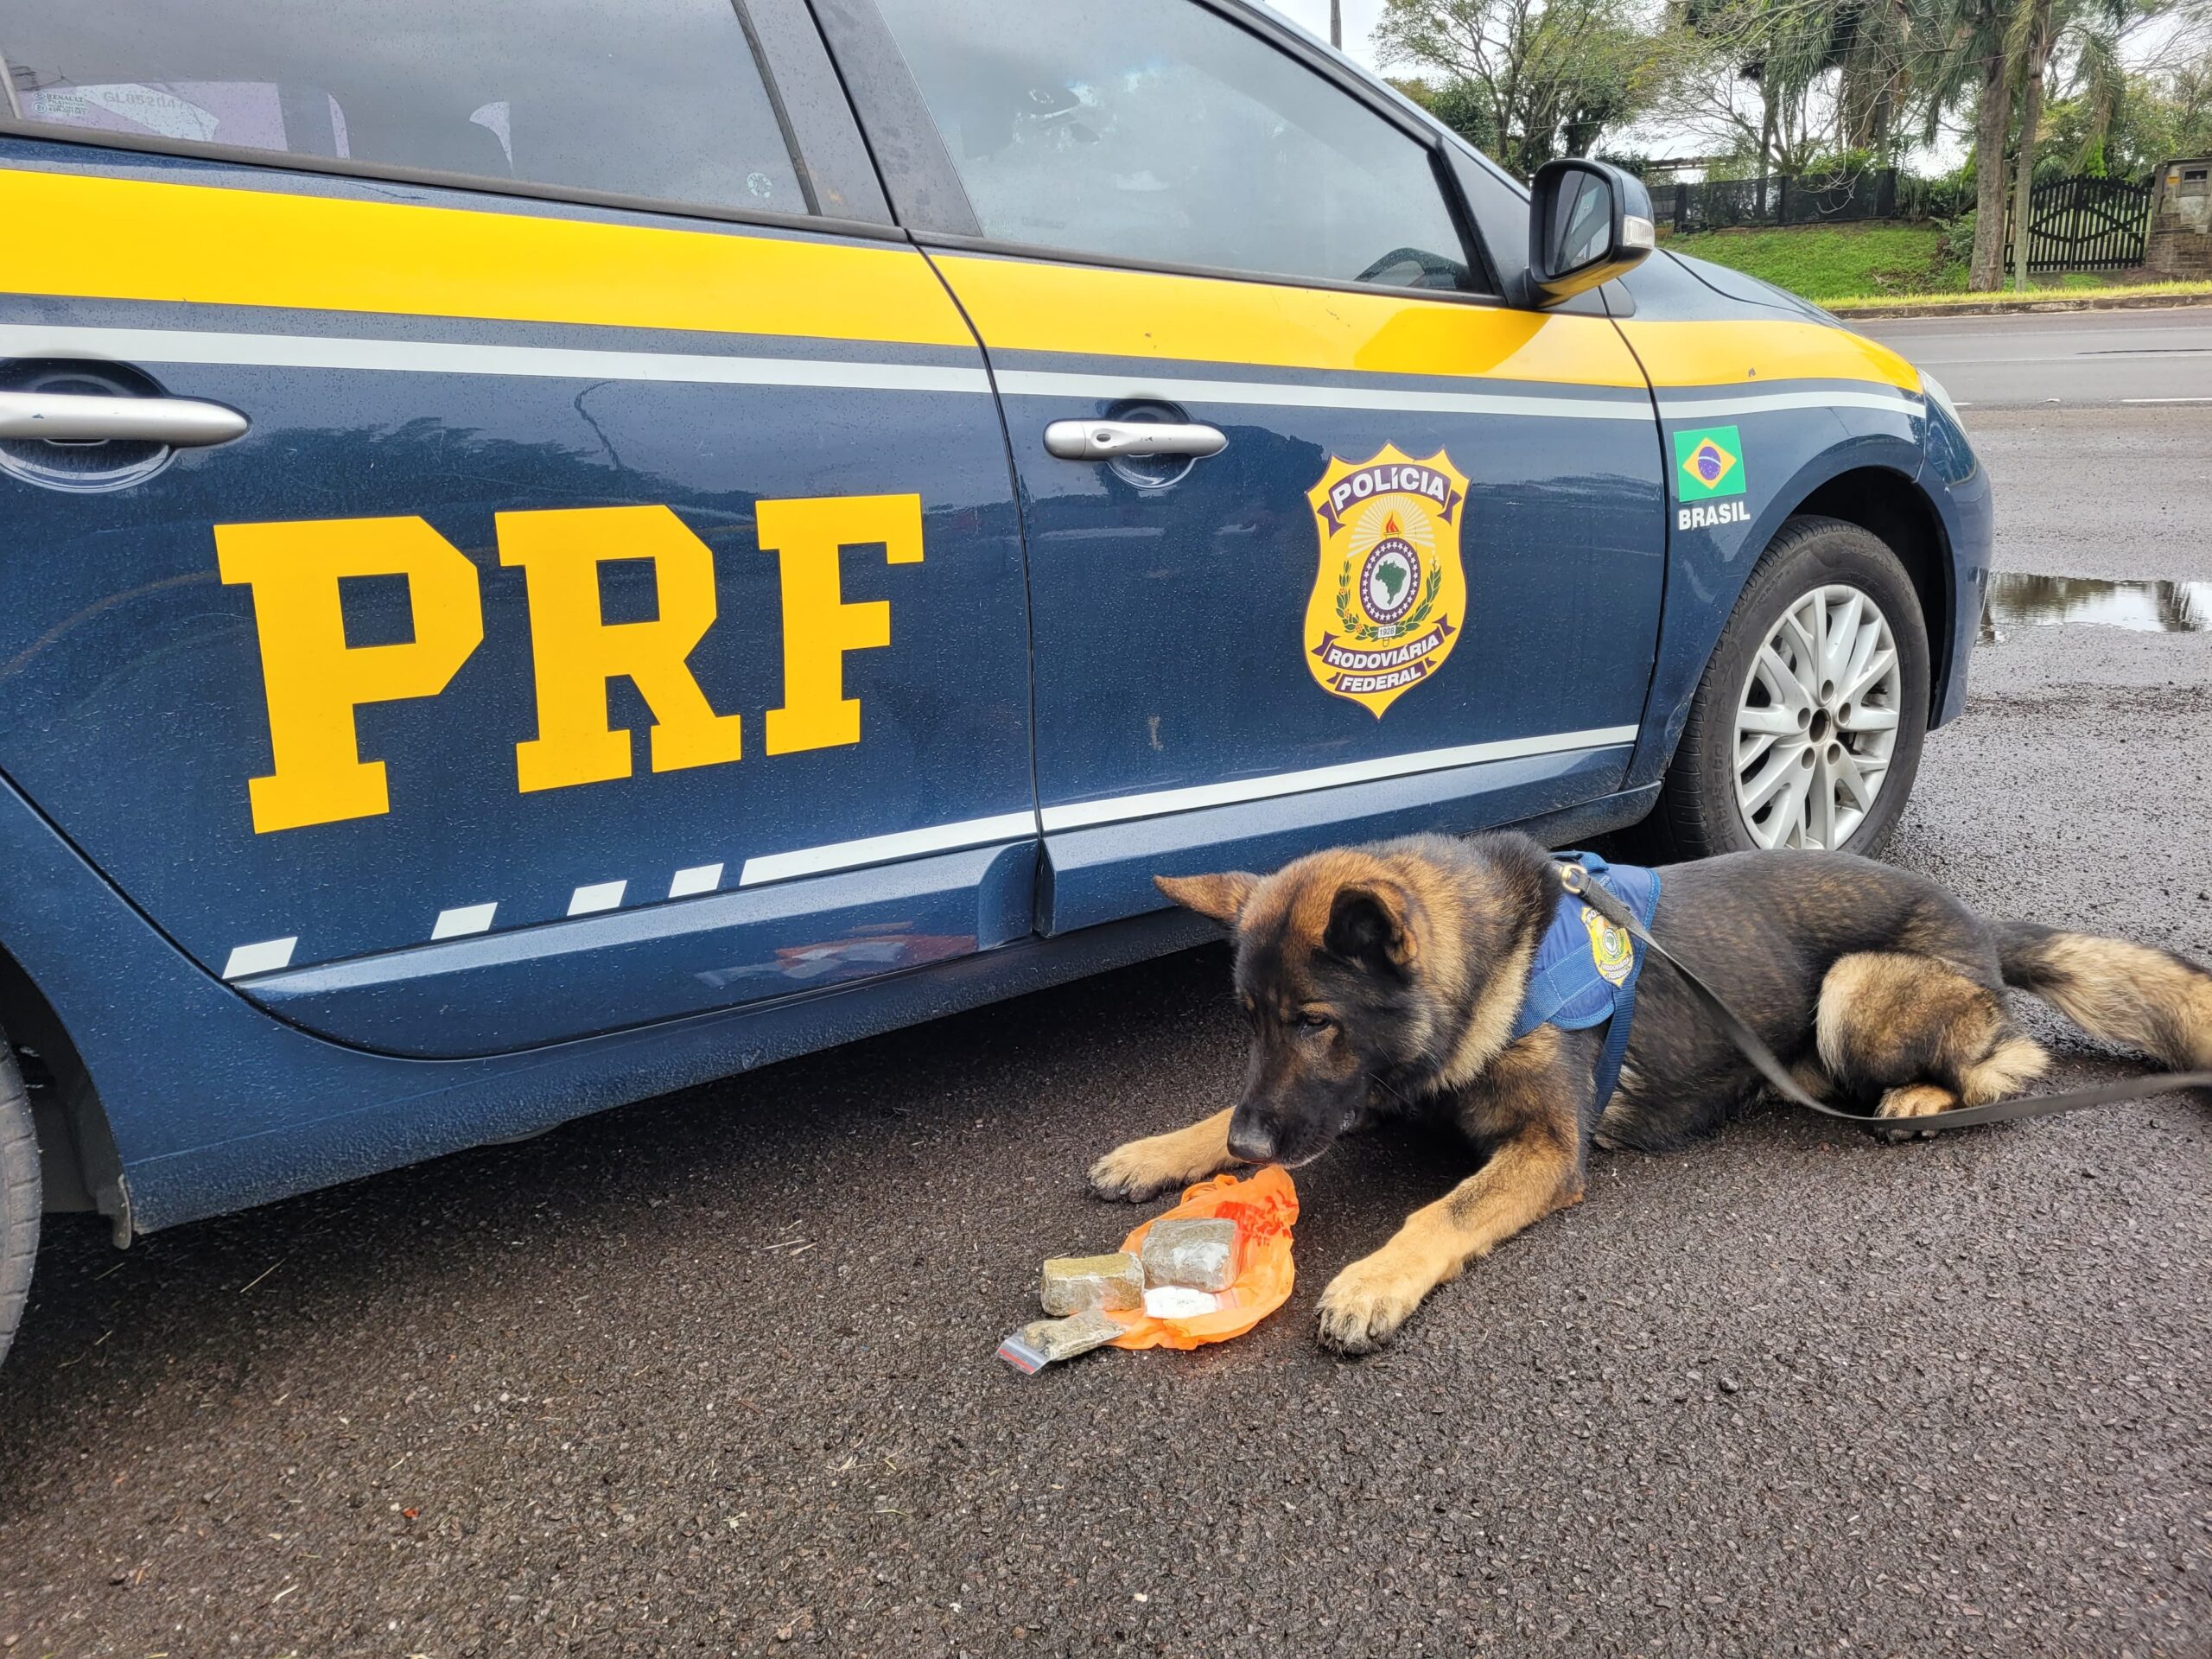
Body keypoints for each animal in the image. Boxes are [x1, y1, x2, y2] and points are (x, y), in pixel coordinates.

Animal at [1092, 836, 2212, 1353]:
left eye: (1316, 1023)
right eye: (1249, 1021)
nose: (1251, 1149)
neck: (1497, 965)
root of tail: (1977, 921)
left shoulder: (1546, 1152)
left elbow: (1438, 1211)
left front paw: (1373, 1279)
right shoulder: (1371, 1094)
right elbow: (1224, 1114)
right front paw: (1160, 1148)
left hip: (1856, 993)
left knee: (2006, 1058)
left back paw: (1919, 1102)